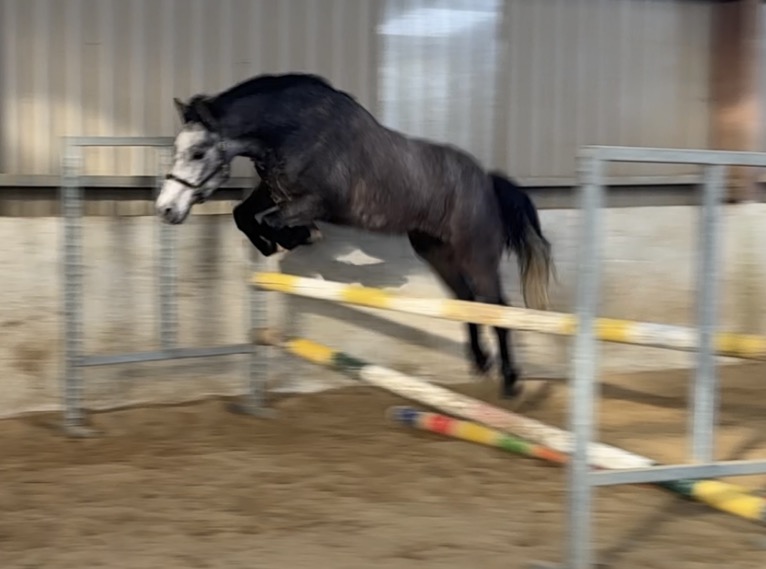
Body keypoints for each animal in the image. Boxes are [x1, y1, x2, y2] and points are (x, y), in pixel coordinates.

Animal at [155, 72, 555, 399]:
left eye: (198, 152)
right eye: (176, 150)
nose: (166, 209)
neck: (292, 130)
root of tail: (487, 181)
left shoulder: (314, 202)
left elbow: (272, 222)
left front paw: (298, 237)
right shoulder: (273, 192)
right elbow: (244, 215)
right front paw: (276, 244)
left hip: (476, 255)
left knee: (497, 307)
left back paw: (510, 381)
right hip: (436, 252)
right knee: (467, 301)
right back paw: (480, 363)